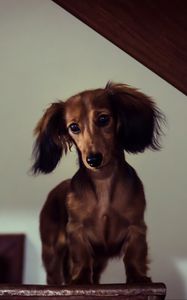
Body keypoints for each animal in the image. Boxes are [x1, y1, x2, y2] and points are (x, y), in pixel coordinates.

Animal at [32, 82, 164, 286]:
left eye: (103, 119)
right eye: (74, 127)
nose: (93, 159)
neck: (103, 179)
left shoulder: (136, 227)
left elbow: (133, 255)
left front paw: (138, 278)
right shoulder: (76, 231)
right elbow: (82, 258)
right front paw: (80, 280)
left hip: (100, 259)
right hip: (51, 250)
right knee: (54, 276)